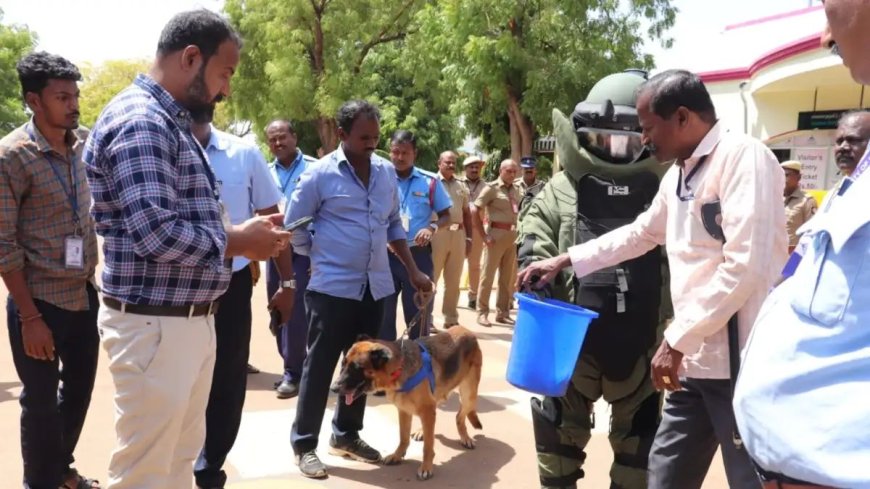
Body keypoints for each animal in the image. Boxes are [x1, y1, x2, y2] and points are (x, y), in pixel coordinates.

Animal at [338, 326, 484, 478]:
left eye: (356, 368)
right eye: (343, 364)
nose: (333, 388)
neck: (399, 368)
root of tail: (467, 331)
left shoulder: (426, 409)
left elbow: (428, 446)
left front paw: (426, 466)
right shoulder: (404, 410)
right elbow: (403, 437)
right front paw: (397, 456)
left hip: (468, 396)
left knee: (459, 416)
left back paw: (465, 437)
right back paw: (422, 431)